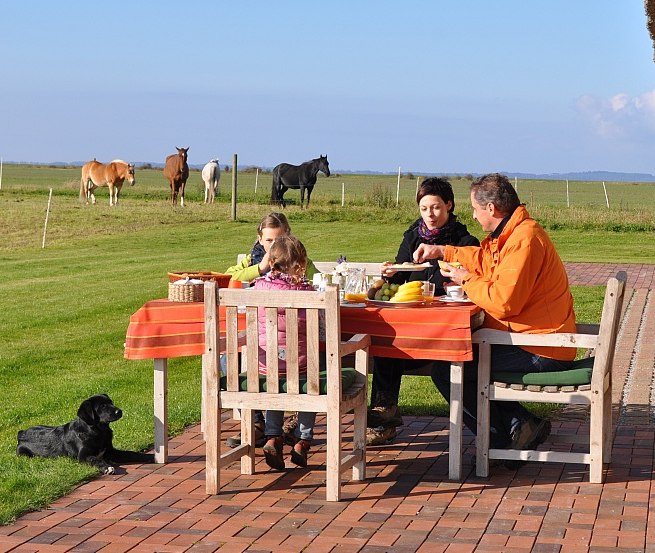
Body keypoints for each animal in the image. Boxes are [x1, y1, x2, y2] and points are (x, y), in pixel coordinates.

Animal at [16, 392, 154, 474]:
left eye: (111, 402)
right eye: (102, 406)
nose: (119, 411)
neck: (98, 432)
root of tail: (21, 433)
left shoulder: (111, 452)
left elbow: (132, 454)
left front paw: (152, 456)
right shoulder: (83, 456)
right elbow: (94, 459)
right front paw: (106, 467)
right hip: (24, 454)